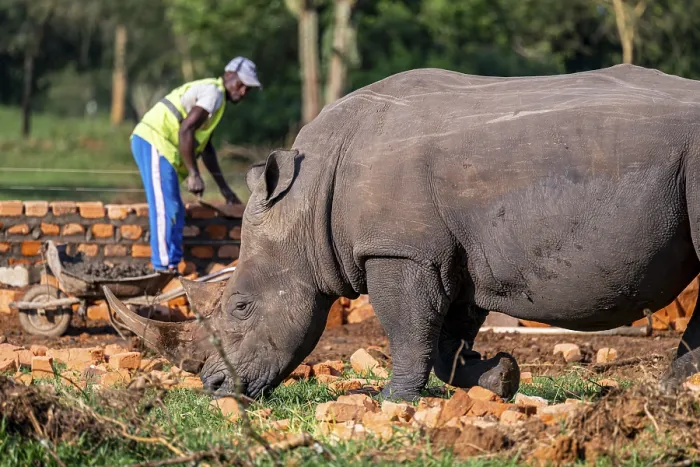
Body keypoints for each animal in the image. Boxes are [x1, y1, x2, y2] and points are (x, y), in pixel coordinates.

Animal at [106, 64, 700, 401]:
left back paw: (673, 392)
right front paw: (501, 378)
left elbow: (408, 328)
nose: (214, 389)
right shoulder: (450, 254)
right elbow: (446, 340)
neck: (303, 206)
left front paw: (394, 400)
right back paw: (674, 393)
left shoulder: (400, 251)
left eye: (241, 307)